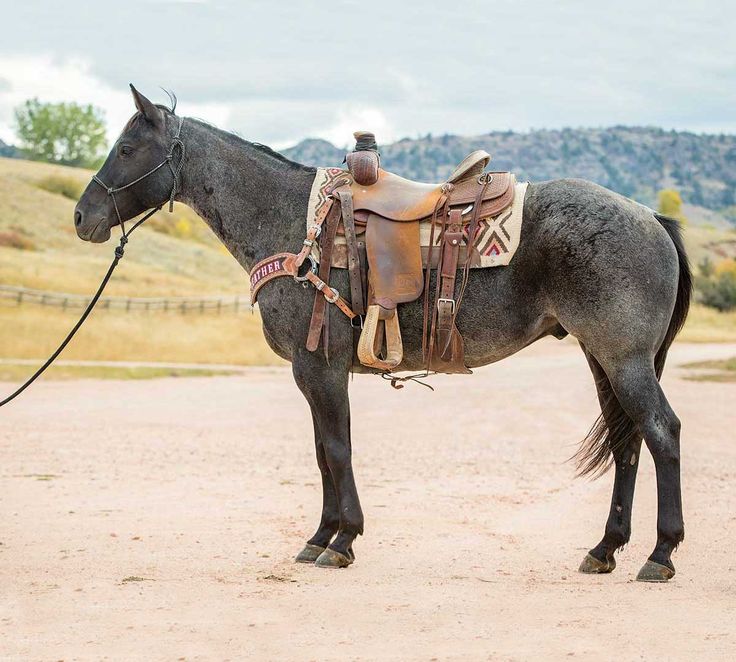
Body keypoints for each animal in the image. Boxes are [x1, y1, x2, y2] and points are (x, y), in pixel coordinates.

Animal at [73, 87, 688, 580]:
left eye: (126, 149)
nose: (82, 216)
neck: (296, 225)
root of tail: (652, 218)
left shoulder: (319, 368)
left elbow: (337, 449)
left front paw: (342, 540)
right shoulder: (314, 373)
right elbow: (323, 451)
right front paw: (320, 536)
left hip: (624, 359)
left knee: (661, 433)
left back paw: (660, 554)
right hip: (602, 358)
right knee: (628, 442)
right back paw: (605, 549)